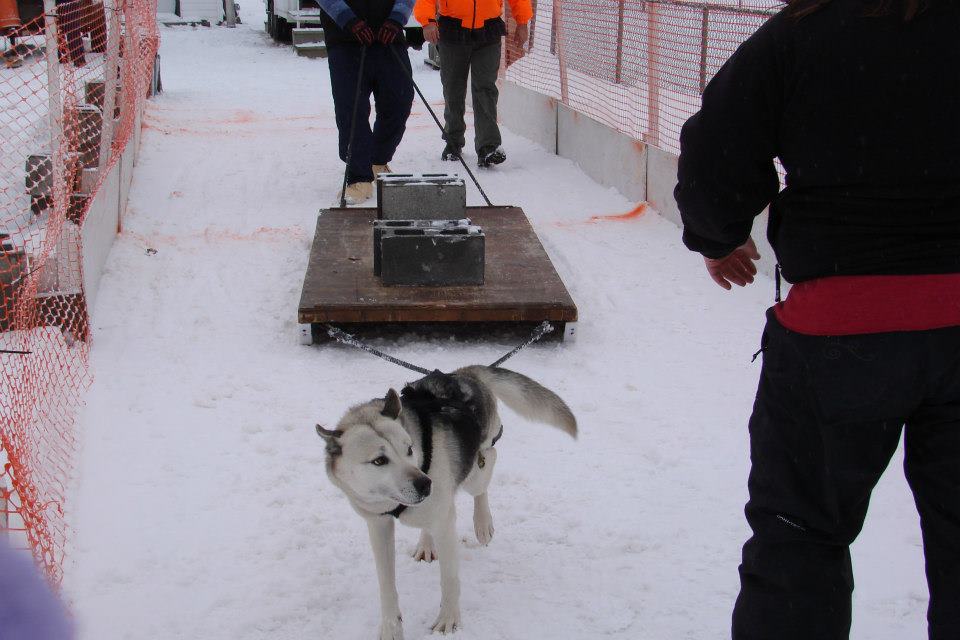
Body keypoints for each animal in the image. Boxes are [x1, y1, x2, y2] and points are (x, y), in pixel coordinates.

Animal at [316, 364, 576, 640]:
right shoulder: (379, 525)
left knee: (486, 468)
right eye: (379, 460)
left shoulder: (444, 523)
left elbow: (449, 579)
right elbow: (386, 585)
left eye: (409, 449)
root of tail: (464, 373)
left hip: (475, 473)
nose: (425, 484)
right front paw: (390, 627)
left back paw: (482, 523)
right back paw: (426, 543)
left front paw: (449, 619)